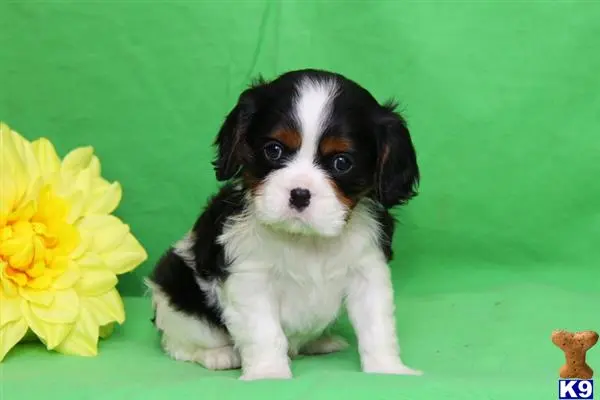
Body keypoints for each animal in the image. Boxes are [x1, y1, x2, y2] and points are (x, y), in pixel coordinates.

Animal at [148, 69, 422, 382]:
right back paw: (218, 355)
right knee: (177, 344)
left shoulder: (368, 270)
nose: (299, 194)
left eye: (342, 162)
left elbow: (377, 325)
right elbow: (264, 332)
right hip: (177, 292)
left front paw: (388, 369)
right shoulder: (251, 279)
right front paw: (269, 374)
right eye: (274, 150)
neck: (307, 239)